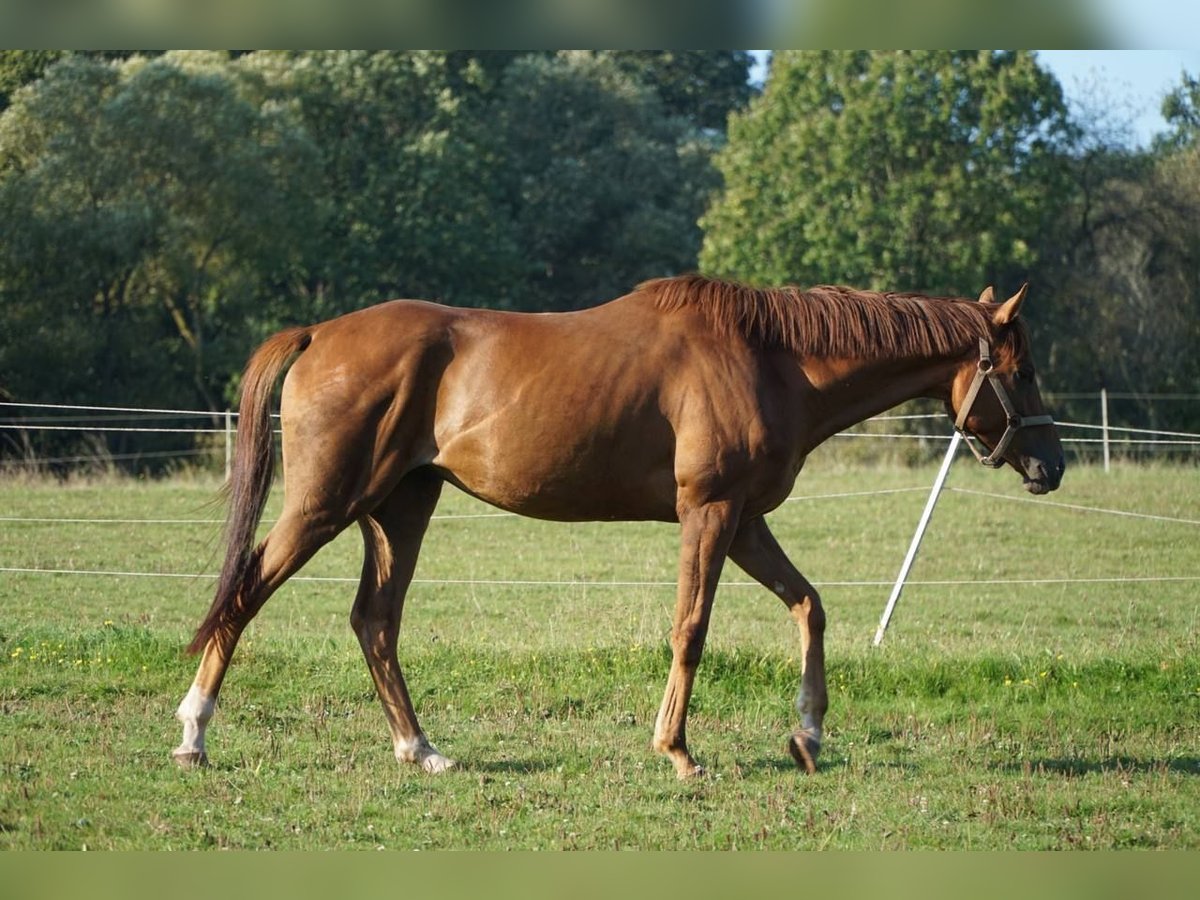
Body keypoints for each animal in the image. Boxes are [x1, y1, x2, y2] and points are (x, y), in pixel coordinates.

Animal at [174, 271, 1065, 777]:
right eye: (1022, 371)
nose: (1052, 466)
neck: (769, 359)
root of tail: (321, 333)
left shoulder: (744, 521)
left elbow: (809, 607)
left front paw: (808, 735)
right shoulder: (709, 513)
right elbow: (691, 629)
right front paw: (678, 750)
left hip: (401, 509)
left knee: (375, 624)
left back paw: (420, 750)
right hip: (326, 504)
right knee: (246, 594)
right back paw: (194, 735)